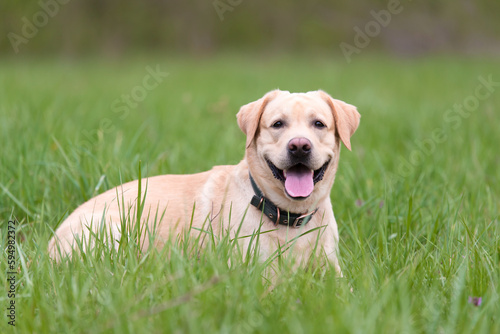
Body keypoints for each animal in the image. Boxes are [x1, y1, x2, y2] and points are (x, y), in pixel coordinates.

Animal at [47, 90, 360, 272]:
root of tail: (49, 246)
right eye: (278, 124)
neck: (289, 216)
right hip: (111, 228)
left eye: (318, 124)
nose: (299, 146)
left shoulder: (333, 272)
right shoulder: (253, 271)